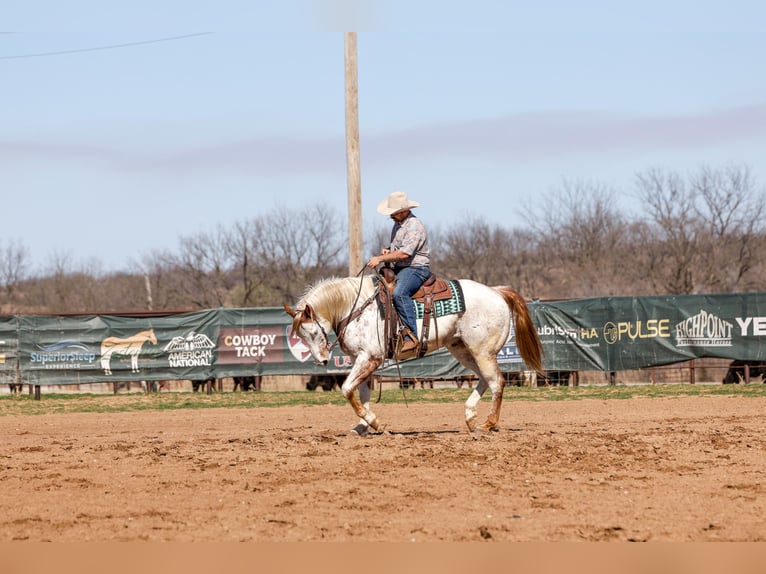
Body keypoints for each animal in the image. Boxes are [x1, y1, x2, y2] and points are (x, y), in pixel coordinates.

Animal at [284, 275, 543, 435]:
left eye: (313, 331)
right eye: (301, 337)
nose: (321, 361)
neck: (355, 307)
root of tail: (497, 292)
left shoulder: (369, 357)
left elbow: (348, 388)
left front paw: (373, 422)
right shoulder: (364, 359)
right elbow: (363, 393)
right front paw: (363, 426)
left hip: (482, 351)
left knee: (496, 381)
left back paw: (489, 423)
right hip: (463, 349)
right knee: (484, 380)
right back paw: (470, 417)